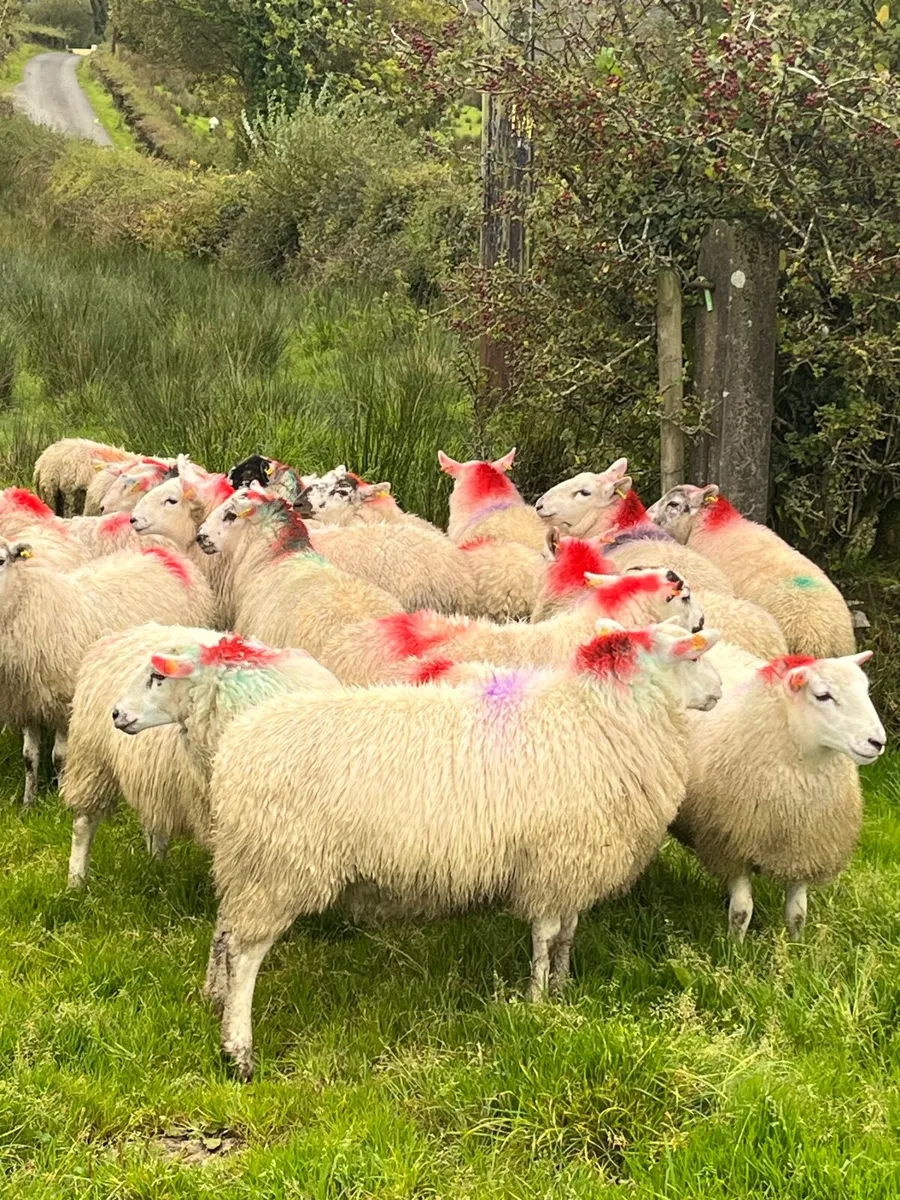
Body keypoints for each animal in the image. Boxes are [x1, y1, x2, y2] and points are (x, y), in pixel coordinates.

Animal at [0, 537, 215, 806]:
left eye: (1, 560)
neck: (23, 603)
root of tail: (167, 555)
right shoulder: (27, 702)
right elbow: (29, 757)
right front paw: (28, 803)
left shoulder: (65, 701)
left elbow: (59, 756)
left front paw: (60, 797)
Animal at [64, 627, 338, 888]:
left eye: (158, 676)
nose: (116, 713)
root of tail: (127, 632)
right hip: (91, 760)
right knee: (84, 824)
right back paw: (76, 882)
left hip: (153, 778)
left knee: (155, 822)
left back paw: (155, 868)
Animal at [205, 618, 721, 1077]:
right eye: (694, 656)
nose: (718, 691)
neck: (604, 715)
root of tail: (233, 750)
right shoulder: (551, 863)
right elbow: (547, 936)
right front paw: (538, 1003)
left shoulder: (573, 866)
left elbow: (568, 935)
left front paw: (563, 990)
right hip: (279, 869)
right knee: (245, 954)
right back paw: (239, 1052)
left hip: (246, 866)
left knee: (224, 933)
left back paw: (214, 999)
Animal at [675, 647, 885, 940]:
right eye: (823, 695)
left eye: (865, 690)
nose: (878, 742)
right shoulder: (733, 845)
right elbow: (742, 911)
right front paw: (734, 947)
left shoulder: (802, 849)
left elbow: (798, 913)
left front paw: (798, 947)